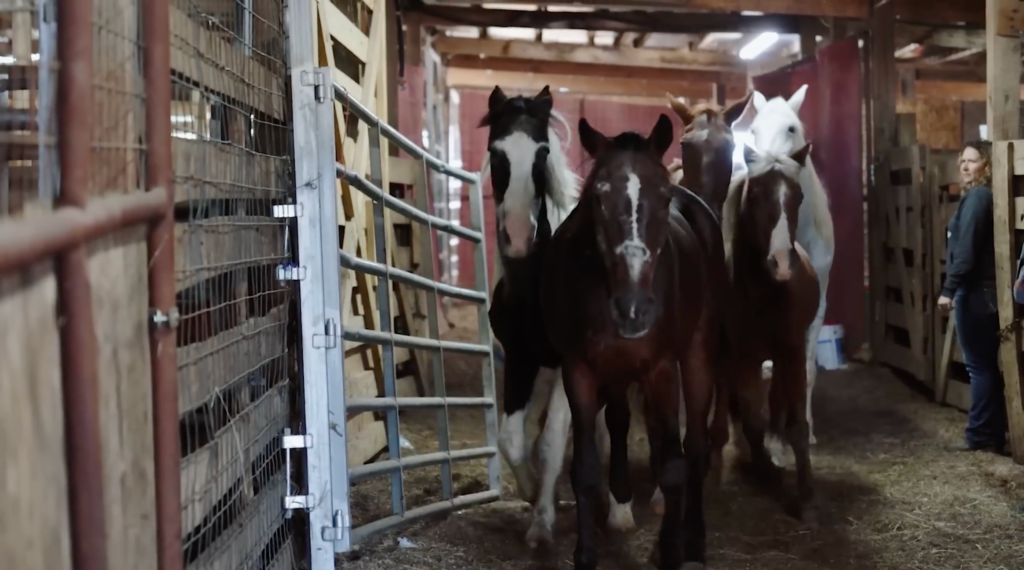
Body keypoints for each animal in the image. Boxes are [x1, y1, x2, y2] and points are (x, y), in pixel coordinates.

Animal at [541, 113, 730, 570]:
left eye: (662, 198)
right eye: (598, 197)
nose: (633, 309)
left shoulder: (661, 368)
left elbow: (677, 466)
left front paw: (673, 551)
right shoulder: (580, 369)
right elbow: (585, 469)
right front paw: (586, 554)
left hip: (696, 356)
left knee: (695, 448)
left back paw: (693, 540)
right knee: (625, 423)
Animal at [721, 142, 820, 522]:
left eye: (798, 196)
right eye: (756, 194)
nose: (781, 263)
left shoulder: (791, 350)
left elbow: (796, 424)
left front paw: (805, 495)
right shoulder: (743, 358)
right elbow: (751, 421)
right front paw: (764, 470)